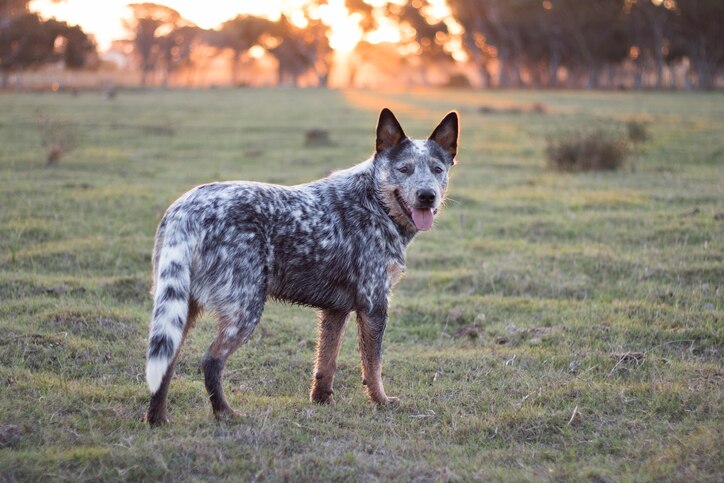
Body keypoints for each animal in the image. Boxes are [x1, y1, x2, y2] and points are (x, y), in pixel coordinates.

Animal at [146, 108, 458, 426]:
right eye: (404, 169)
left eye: (437, 169)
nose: (427, 195)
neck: (374, 201)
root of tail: (185, 211)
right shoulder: (374, 304)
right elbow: (373, 365)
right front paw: (381, 401)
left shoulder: (336, 310)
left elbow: (326, 362)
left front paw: (322, 401)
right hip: (245, 308)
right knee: (211, 360)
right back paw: (226, 414)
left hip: (178, 306)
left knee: (164, 364)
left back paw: (157, 419)